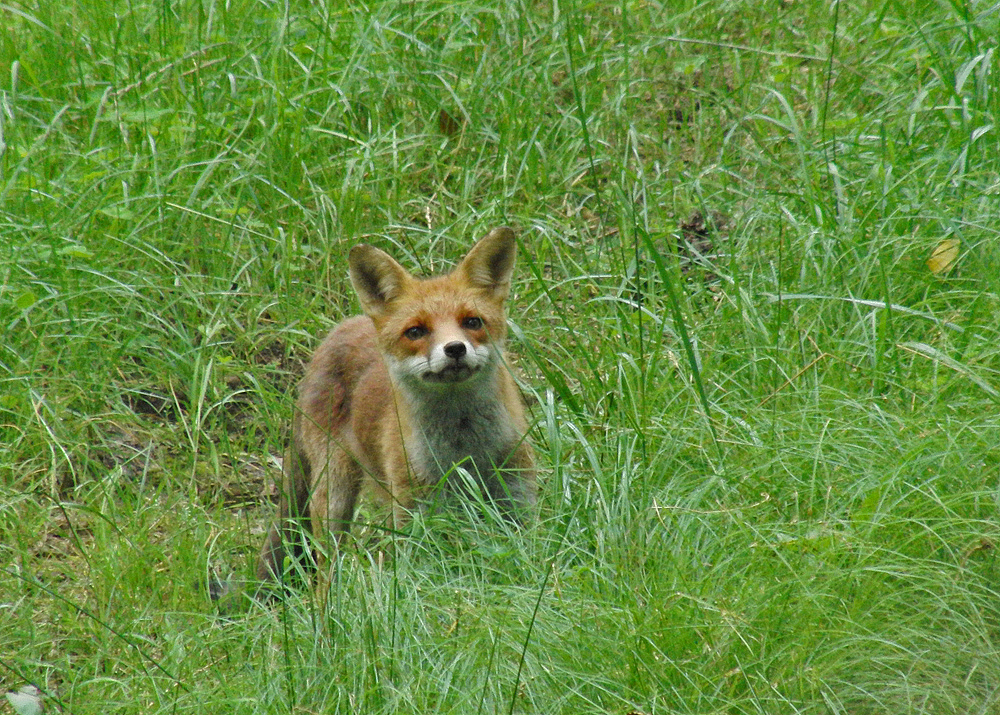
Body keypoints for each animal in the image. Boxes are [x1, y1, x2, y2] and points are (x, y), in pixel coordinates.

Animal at [258, 228, 540, 588]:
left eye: (472, 322)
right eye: (416, 331)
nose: (455, 349)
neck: (462, 450)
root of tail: (338, 329)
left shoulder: (517, 496)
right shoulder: (414, 512)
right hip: (333, 496)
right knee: (324, 572)